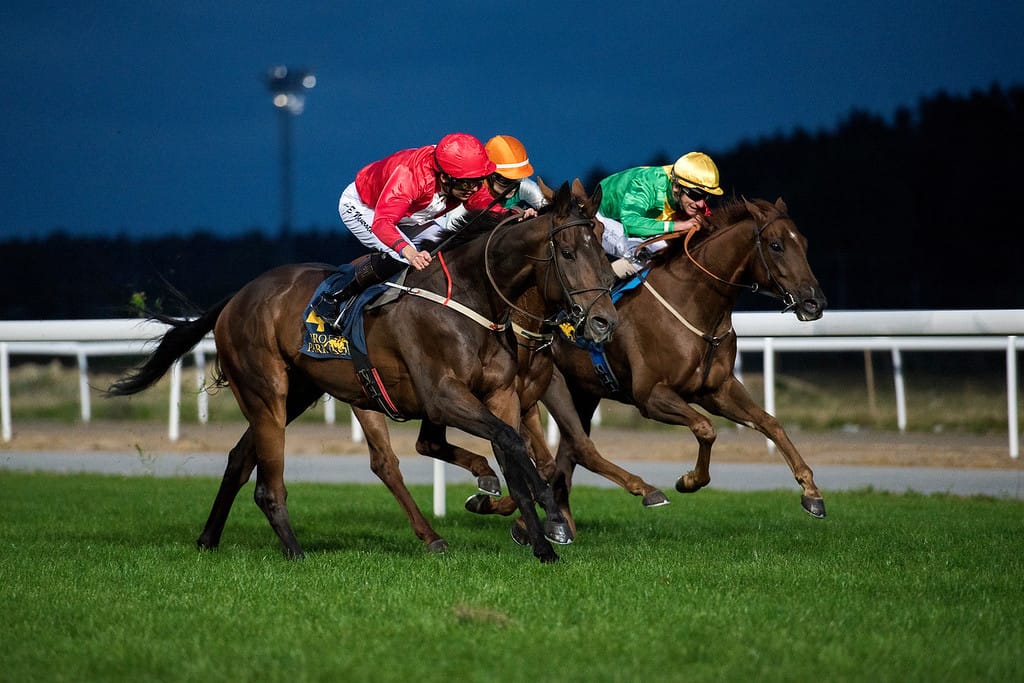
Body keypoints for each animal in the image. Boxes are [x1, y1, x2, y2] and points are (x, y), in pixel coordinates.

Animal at [105, 179, 614, 565]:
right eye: (568, 252)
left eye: (603, 252)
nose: (603, 321)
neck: (470, 297)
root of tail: (235, 299)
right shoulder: (443, 397)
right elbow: (511, 446)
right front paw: (550, 520)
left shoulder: (501, 395)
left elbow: (517, 454)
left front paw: (543, 540)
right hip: (266, 393)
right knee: (270, 482)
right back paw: (295, 551)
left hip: (297, 394)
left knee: (239, 458)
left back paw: (208, 539)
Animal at [452, 194, 827, 536]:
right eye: (776, 246)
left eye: (805, 243)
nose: (815, 302)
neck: (692, 303)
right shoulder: (651, 396)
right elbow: (705, 428)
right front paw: (689, 480)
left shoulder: (716, 389)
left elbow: (770, 423)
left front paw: (812, 493)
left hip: (582, 391)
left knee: (567, 453)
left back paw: (538, 515)